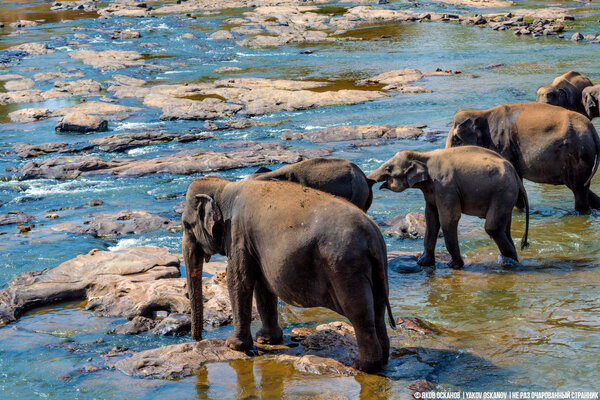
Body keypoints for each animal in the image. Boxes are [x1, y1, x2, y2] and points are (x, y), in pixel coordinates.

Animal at [183, 177, 398, 374]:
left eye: (186, 225)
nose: (198, 339)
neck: (225, 187)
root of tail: (373, 235)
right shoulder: (253, 246)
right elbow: (263, 287)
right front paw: (266, 340)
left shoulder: (237, 235)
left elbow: (238, 281)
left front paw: (233, 345)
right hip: (376, 267)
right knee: (378, 311)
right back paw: (382, 360)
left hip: (346, 268)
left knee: (360, 314)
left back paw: (363, 366)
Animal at [366, 147, 528, 268]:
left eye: (388, 169)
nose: (368, 180)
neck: (422, 156)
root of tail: (515, 175)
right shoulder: (431, 191)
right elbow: (431, 218)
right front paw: (422, 263)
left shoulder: (445, 186)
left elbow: (449, 218)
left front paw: (454, 265)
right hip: (506, 195)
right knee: (504, 227)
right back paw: (510, 260)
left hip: (503, 192)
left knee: (492, 227)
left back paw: (510, 262)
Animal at [446, 101, 600, 211]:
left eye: (456, 139)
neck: (481, 113)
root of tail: (592, 130)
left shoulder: (503, 146)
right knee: (582, 188)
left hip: (578, 155)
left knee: (579, 189)